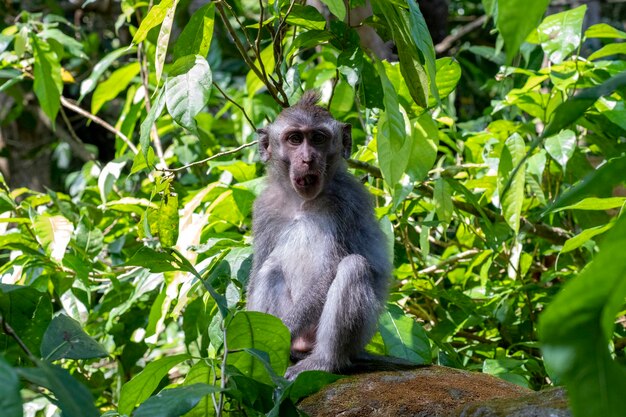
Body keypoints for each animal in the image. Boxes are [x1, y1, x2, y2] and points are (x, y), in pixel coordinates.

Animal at [245, 91, 388, 380]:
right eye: (295, 139)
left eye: (318, 139)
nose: (308, 158)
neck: (302, 202)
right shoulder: (264, 208)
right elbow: (259, 268)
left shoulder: (347, 203)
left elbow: (331, 268)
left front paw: (283, 330)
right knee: (270, 268)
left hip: (355, 338)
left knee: (354, 267)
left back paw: (324, 361)